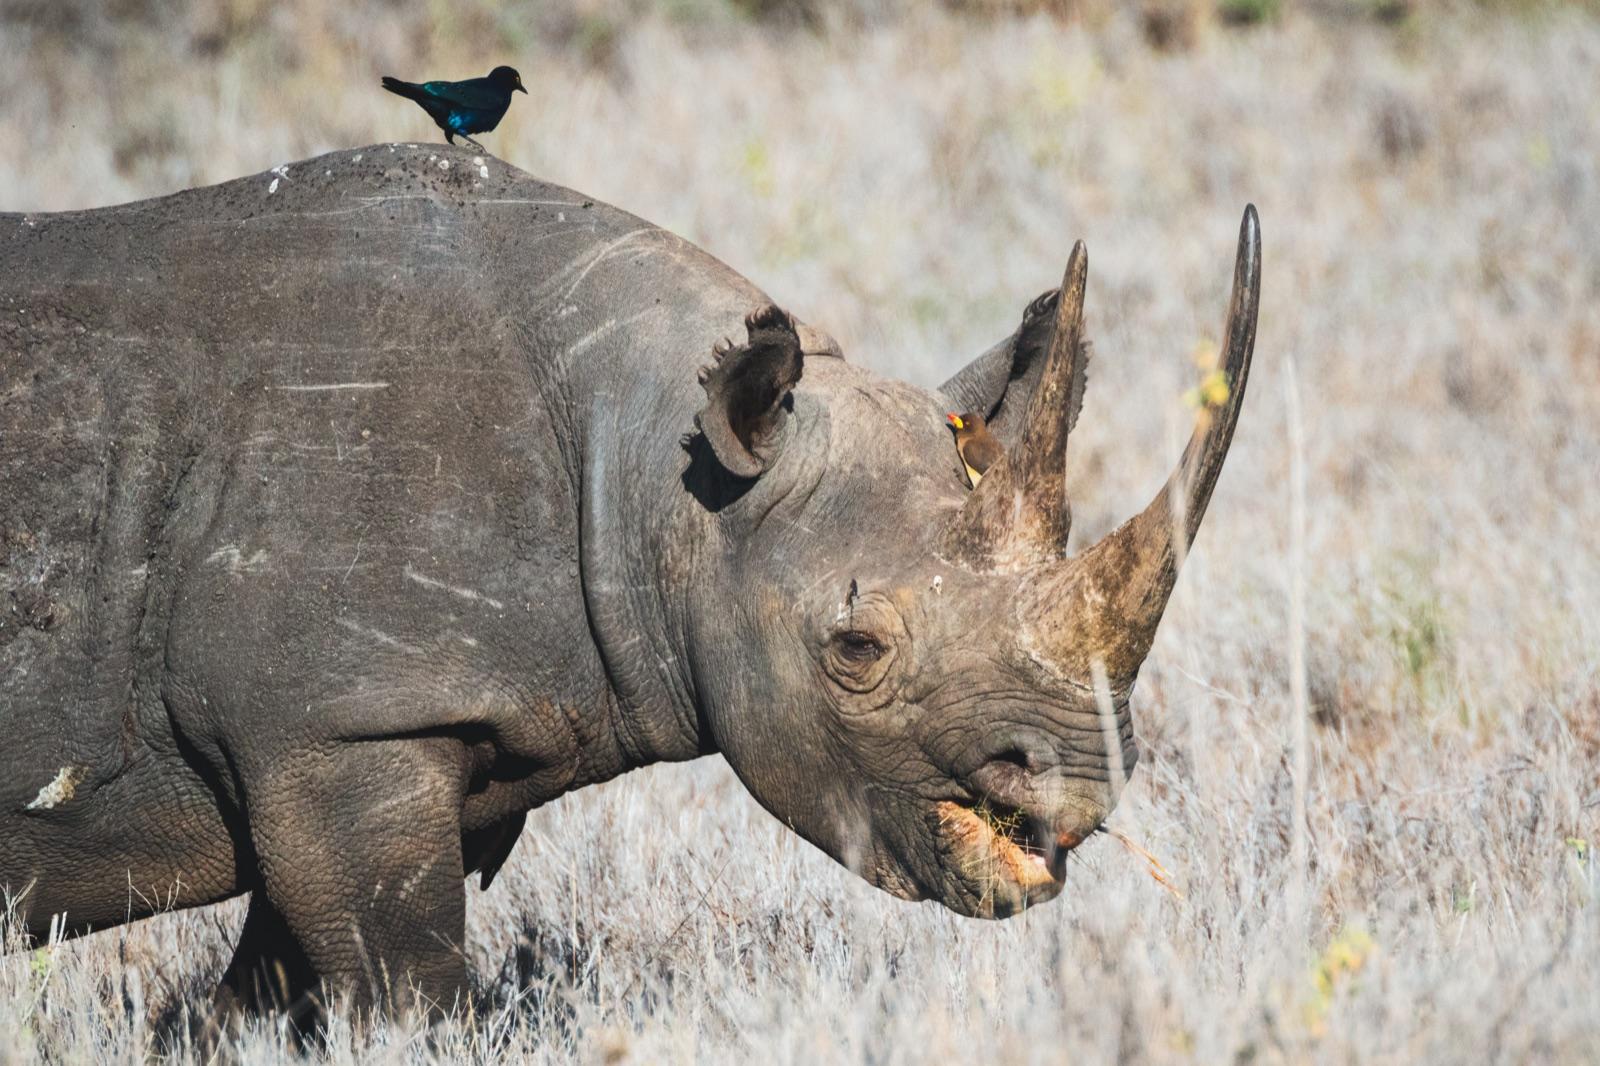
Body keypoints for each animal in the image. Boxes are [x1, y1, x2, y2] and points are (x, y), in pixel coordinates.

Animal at [0, 144, 1259, 1022]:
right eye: (855, 649)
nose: (1081, 783)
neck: (658, 474)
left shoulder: (392, 727)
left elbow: (267, 997)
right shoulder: (332, 725)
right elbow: (403, 988)